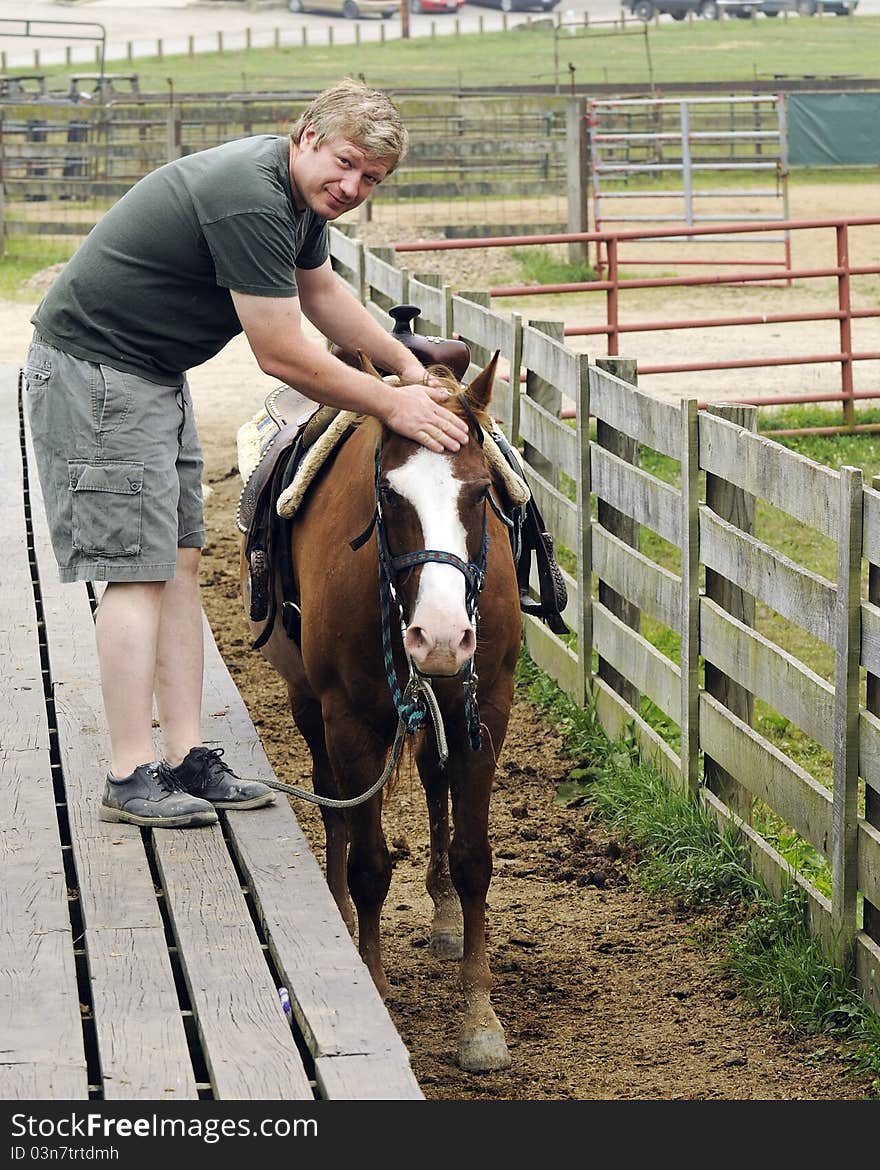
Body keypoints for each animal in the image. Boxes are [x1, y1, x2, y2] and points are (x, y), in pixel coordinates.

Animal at [242, 351, 521, 1071]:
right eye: (390, 498)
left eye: (479, 492)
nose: (442, 637)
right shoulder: (350, 722)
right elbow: (368, 864)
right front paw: (371, 978)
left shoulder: (485, 712)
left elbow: (474, 860)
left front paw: (480, 1019)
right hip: (310, 706)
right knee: (332, 800)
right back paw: (340, 911)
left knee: (432, 782)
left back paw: (443, 915)